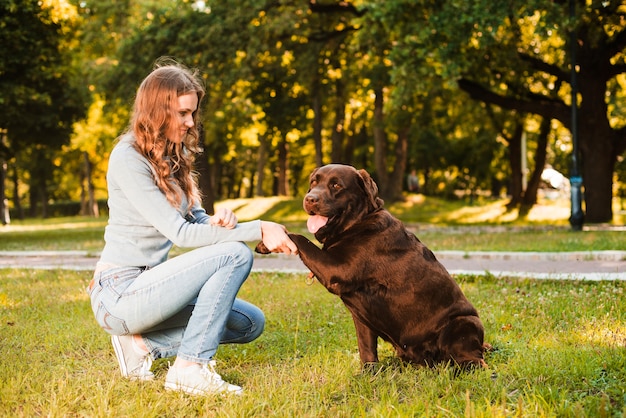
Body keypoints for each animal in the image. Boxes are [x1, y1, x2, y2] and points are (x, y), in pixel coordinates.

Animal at [256, 163, 486, 370]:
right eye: (313, 182)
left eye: (336, 185)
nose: (310, 198)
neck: (357, 224)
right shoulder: (361, 318)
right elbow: (366, 348)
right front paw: (368, 375)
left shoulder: (338, 269)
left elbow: (301, 239)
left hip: (464, 322)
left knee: (473, 361)